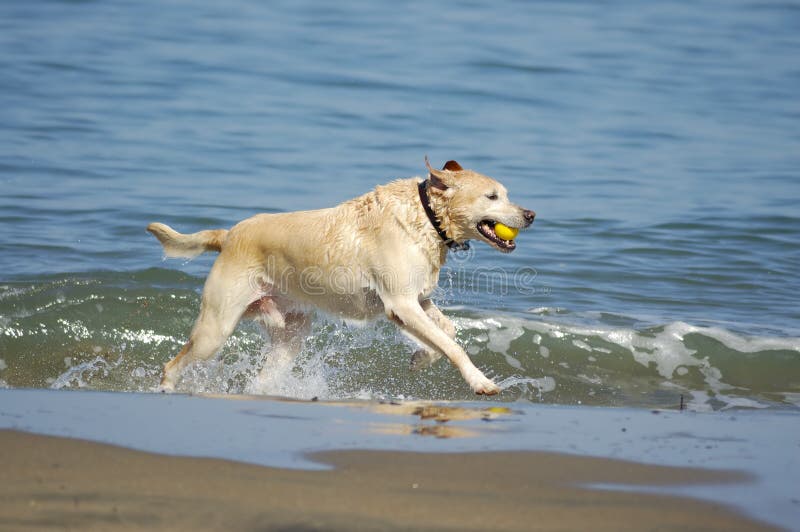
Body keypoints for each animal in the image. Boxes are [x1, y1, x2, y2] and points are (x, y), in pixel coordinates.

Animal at [148, 158, 536, 394]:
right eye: (492, 196)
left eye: (506, 195)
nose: (531, 214)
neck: (426, 219)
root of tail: (228, 235)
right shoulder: (401, 305)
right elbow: (453, 346)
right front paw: (480, 381)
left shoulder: (418, 301)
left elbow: (449, 333)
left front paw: (420, 357)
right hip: (216, 328)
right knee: (173, 364)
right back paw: (165, 390)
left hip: (290, 335)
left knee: (263, 375)